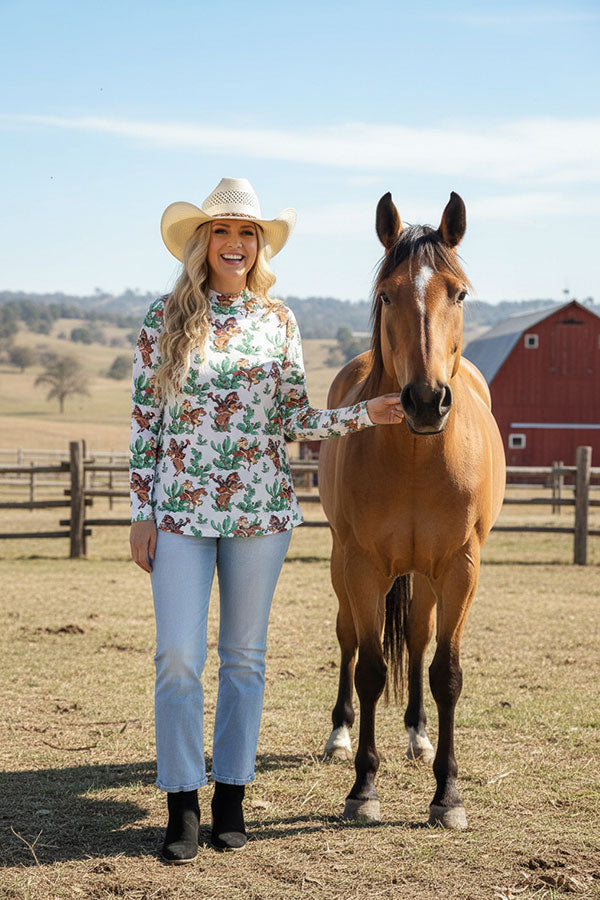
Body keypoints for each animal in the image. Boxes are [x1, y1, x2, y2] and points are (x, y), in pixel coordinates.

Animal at [318, 191, 505, 829]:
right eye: (386, 294)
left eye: (459, 293)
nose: (426, 400)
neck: (418, 458)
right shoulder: (362, 565)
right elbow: (372, 668)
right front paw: (363, 788)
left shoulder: (461, 567)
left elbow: (444, 672)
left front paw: (447, 794)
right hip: (344, 564)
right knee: (349, 638)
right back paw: (340, 735)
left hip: (425, 575)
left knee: (420, 640)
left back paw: (420, 737)